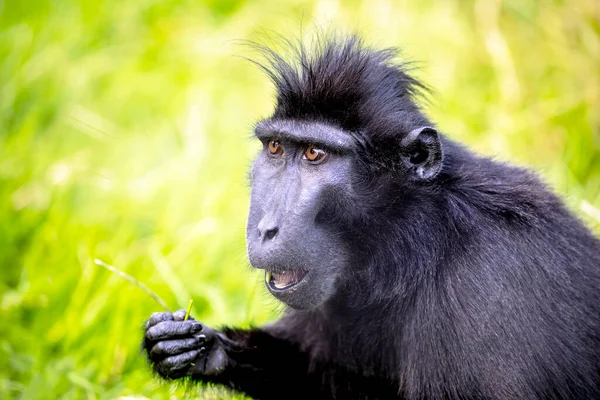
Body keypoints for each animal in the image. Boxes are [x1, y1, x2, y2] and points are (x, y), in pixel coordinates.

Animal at [142, 36, 600, 398]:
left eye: (315, 154)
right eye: (275, 147)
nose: (264, 229)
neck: (418, 241)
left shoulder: (484, 287)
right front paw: (194, 347)